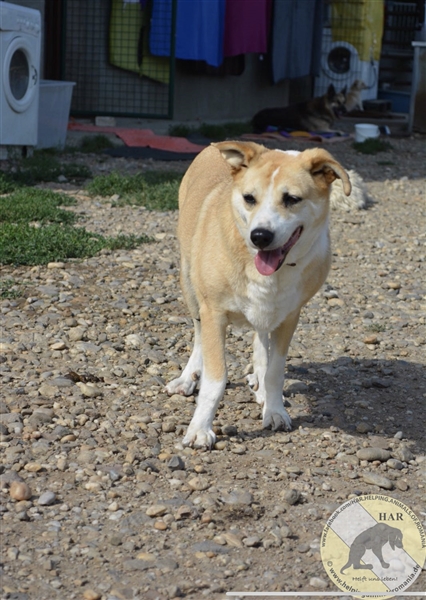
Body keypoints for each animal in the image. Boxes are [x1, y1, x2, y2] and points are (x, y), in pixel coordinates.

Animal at [166, 141, 351, 448]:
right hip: (189, 285)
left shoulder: (289, 316)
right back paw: (188, 377)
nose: (260, 236)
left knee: (261, 338)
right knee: (198, 334)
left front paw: (274, 410)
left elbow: (275, 371)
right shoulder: (213, 313)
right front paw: (200, 428)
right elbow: (216, 378)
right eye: (249, 198)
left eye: (292, 199)